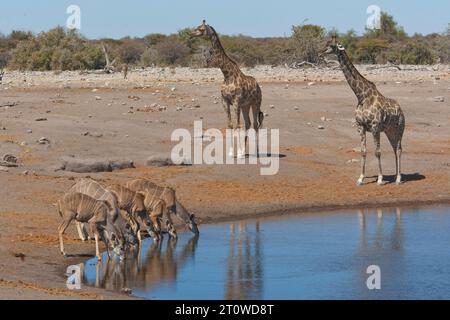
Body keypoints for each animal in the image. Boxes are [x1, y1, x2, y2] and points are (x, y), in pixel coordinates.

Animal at [189, 19, 264, 158]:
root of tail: (257, 85)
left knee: (256, 124)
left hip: (256, 102)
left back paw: (256, 152)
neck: (227, 75)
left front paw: (238, 154)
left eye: (201, 29)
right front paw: (231, 152)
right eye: (196, 27)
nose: (190, 34)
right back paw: (244, 151)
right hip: (246, 105)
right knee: (248, 123)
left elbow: (237, 125)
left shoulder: (236, 102)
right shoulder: (225, 101)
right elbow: (230, 125)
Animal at [322, 36, 406, 186]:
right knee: (394, 149)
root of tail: (400, 109)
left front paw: (380, 179)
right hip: (389, 130)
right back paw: (397, 176)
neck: (361, 96)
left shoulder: (374, 127)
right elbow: (363, 151)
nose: (321, 52)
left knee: (399, 149)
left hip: (400, 128)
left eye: (332, 45)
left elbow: (377, 152)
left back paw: (398, 178)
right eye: (326, 42)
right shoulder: (360, 126)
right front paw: (360, 178)